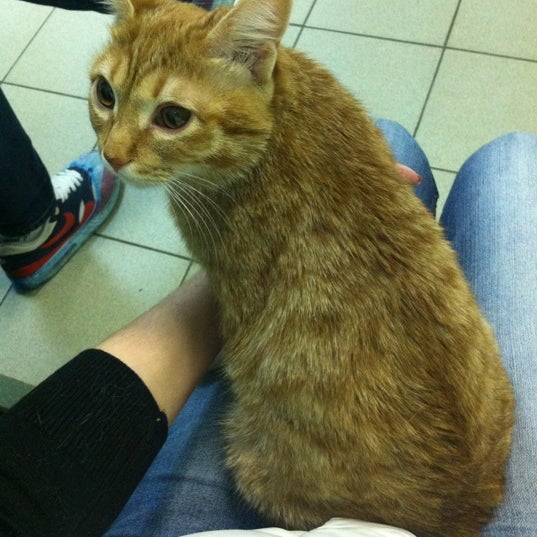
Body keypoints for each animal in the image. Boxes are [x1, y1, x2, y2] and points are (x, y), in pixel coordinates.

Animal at [89, 1, 514, 536]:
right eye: (105, 93)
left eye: (172, 117)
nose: (111, 156)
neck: (278, 124)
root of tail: (463, 507)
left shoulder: (233, 296)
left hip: (250, 462)